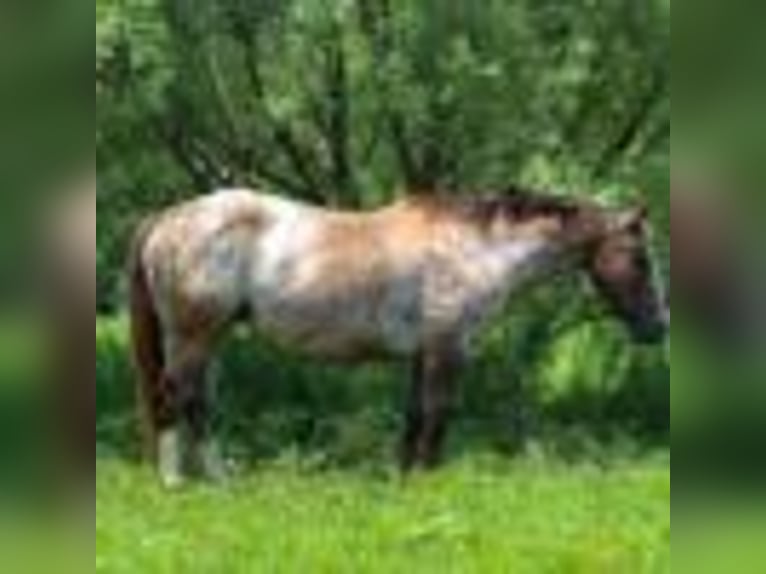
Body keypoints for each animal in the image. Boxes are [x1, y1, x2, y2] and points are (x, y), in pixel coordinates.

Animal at [128, 186, 668, 487]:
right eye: (639, 258)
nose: (658, 327)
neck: (477, 247)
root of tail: (167, 217)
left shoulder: (421, 355)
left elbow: (413, 419)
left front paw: (405, 483)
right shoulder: (448, 350)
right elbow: (437, 417)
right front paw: (430, 484)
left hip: (206, 340)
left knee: (189, 404)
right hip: (194, 337)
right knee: (177, 400)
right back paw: (192, 482)